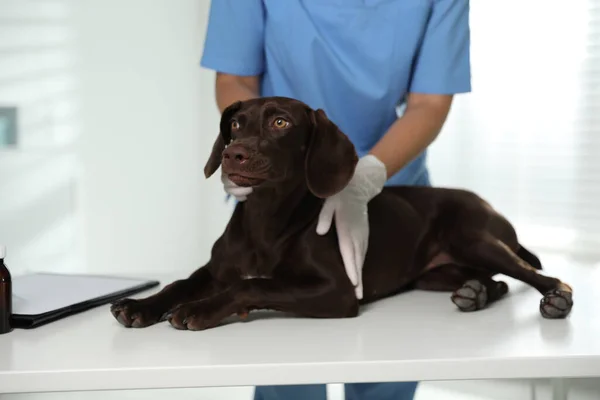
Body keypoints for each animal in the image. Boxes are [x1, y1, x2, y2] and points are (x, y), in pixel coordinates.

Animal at [110, 97, 576, 332]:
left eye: (280, 122)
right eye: (236, 124)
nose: (232, 154)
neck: (266, 220)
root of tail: (488, 204)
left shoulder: (336, 292)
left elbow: (253, 284)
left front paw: (202, 309)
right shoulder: (214, 269)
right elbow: (180, 283)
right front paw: (142, 305)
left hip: (474, 238)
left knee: (539, 275)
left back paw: (555, 300)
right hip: (433, 274)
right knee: (496, 282)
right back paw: (475, 293)